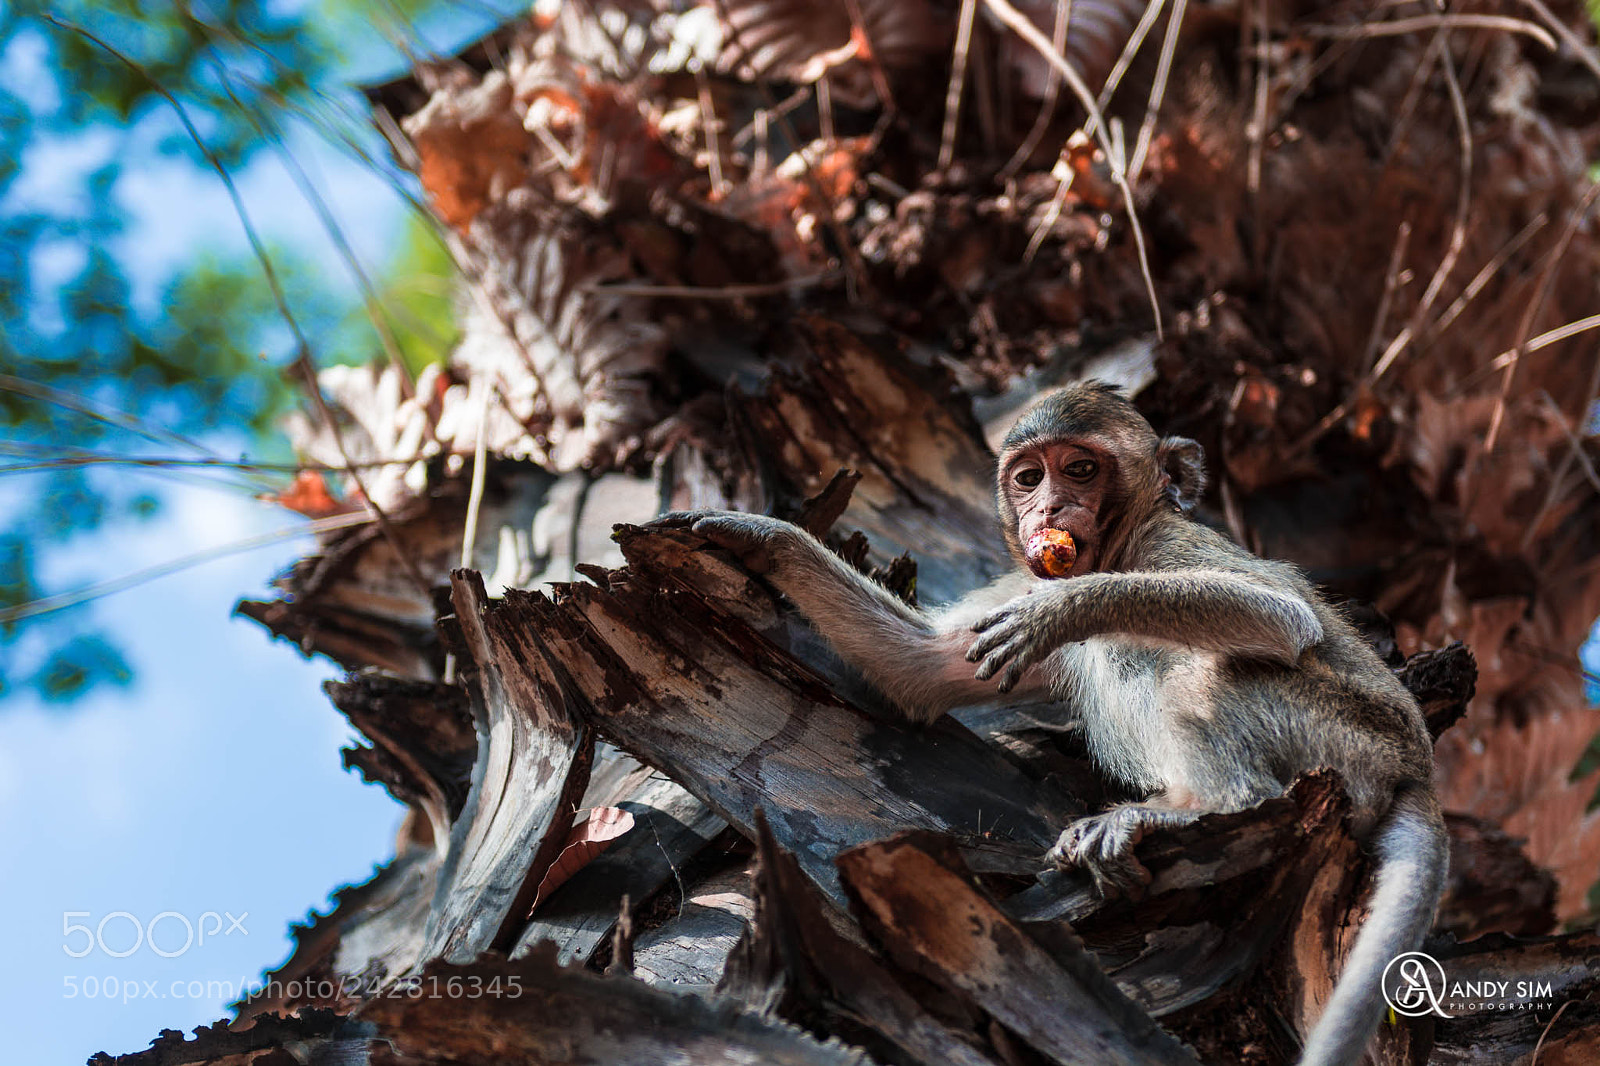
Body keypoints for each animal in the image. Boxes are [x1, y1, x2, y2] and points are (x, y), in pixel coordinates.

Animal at [655, 381, 1445, 1066]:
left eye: (1082, 469)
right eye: (1029, 477)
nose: (1050, 509)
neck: (1126, 544)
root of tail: (1416, 766)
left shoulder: (1170, 550)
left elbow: (1281, 619)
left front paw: (1065, 610)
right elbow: (922, 668)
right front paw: (762, 536)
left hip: (1340, 731)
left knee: (1197, 662)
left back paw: (1205, 805)